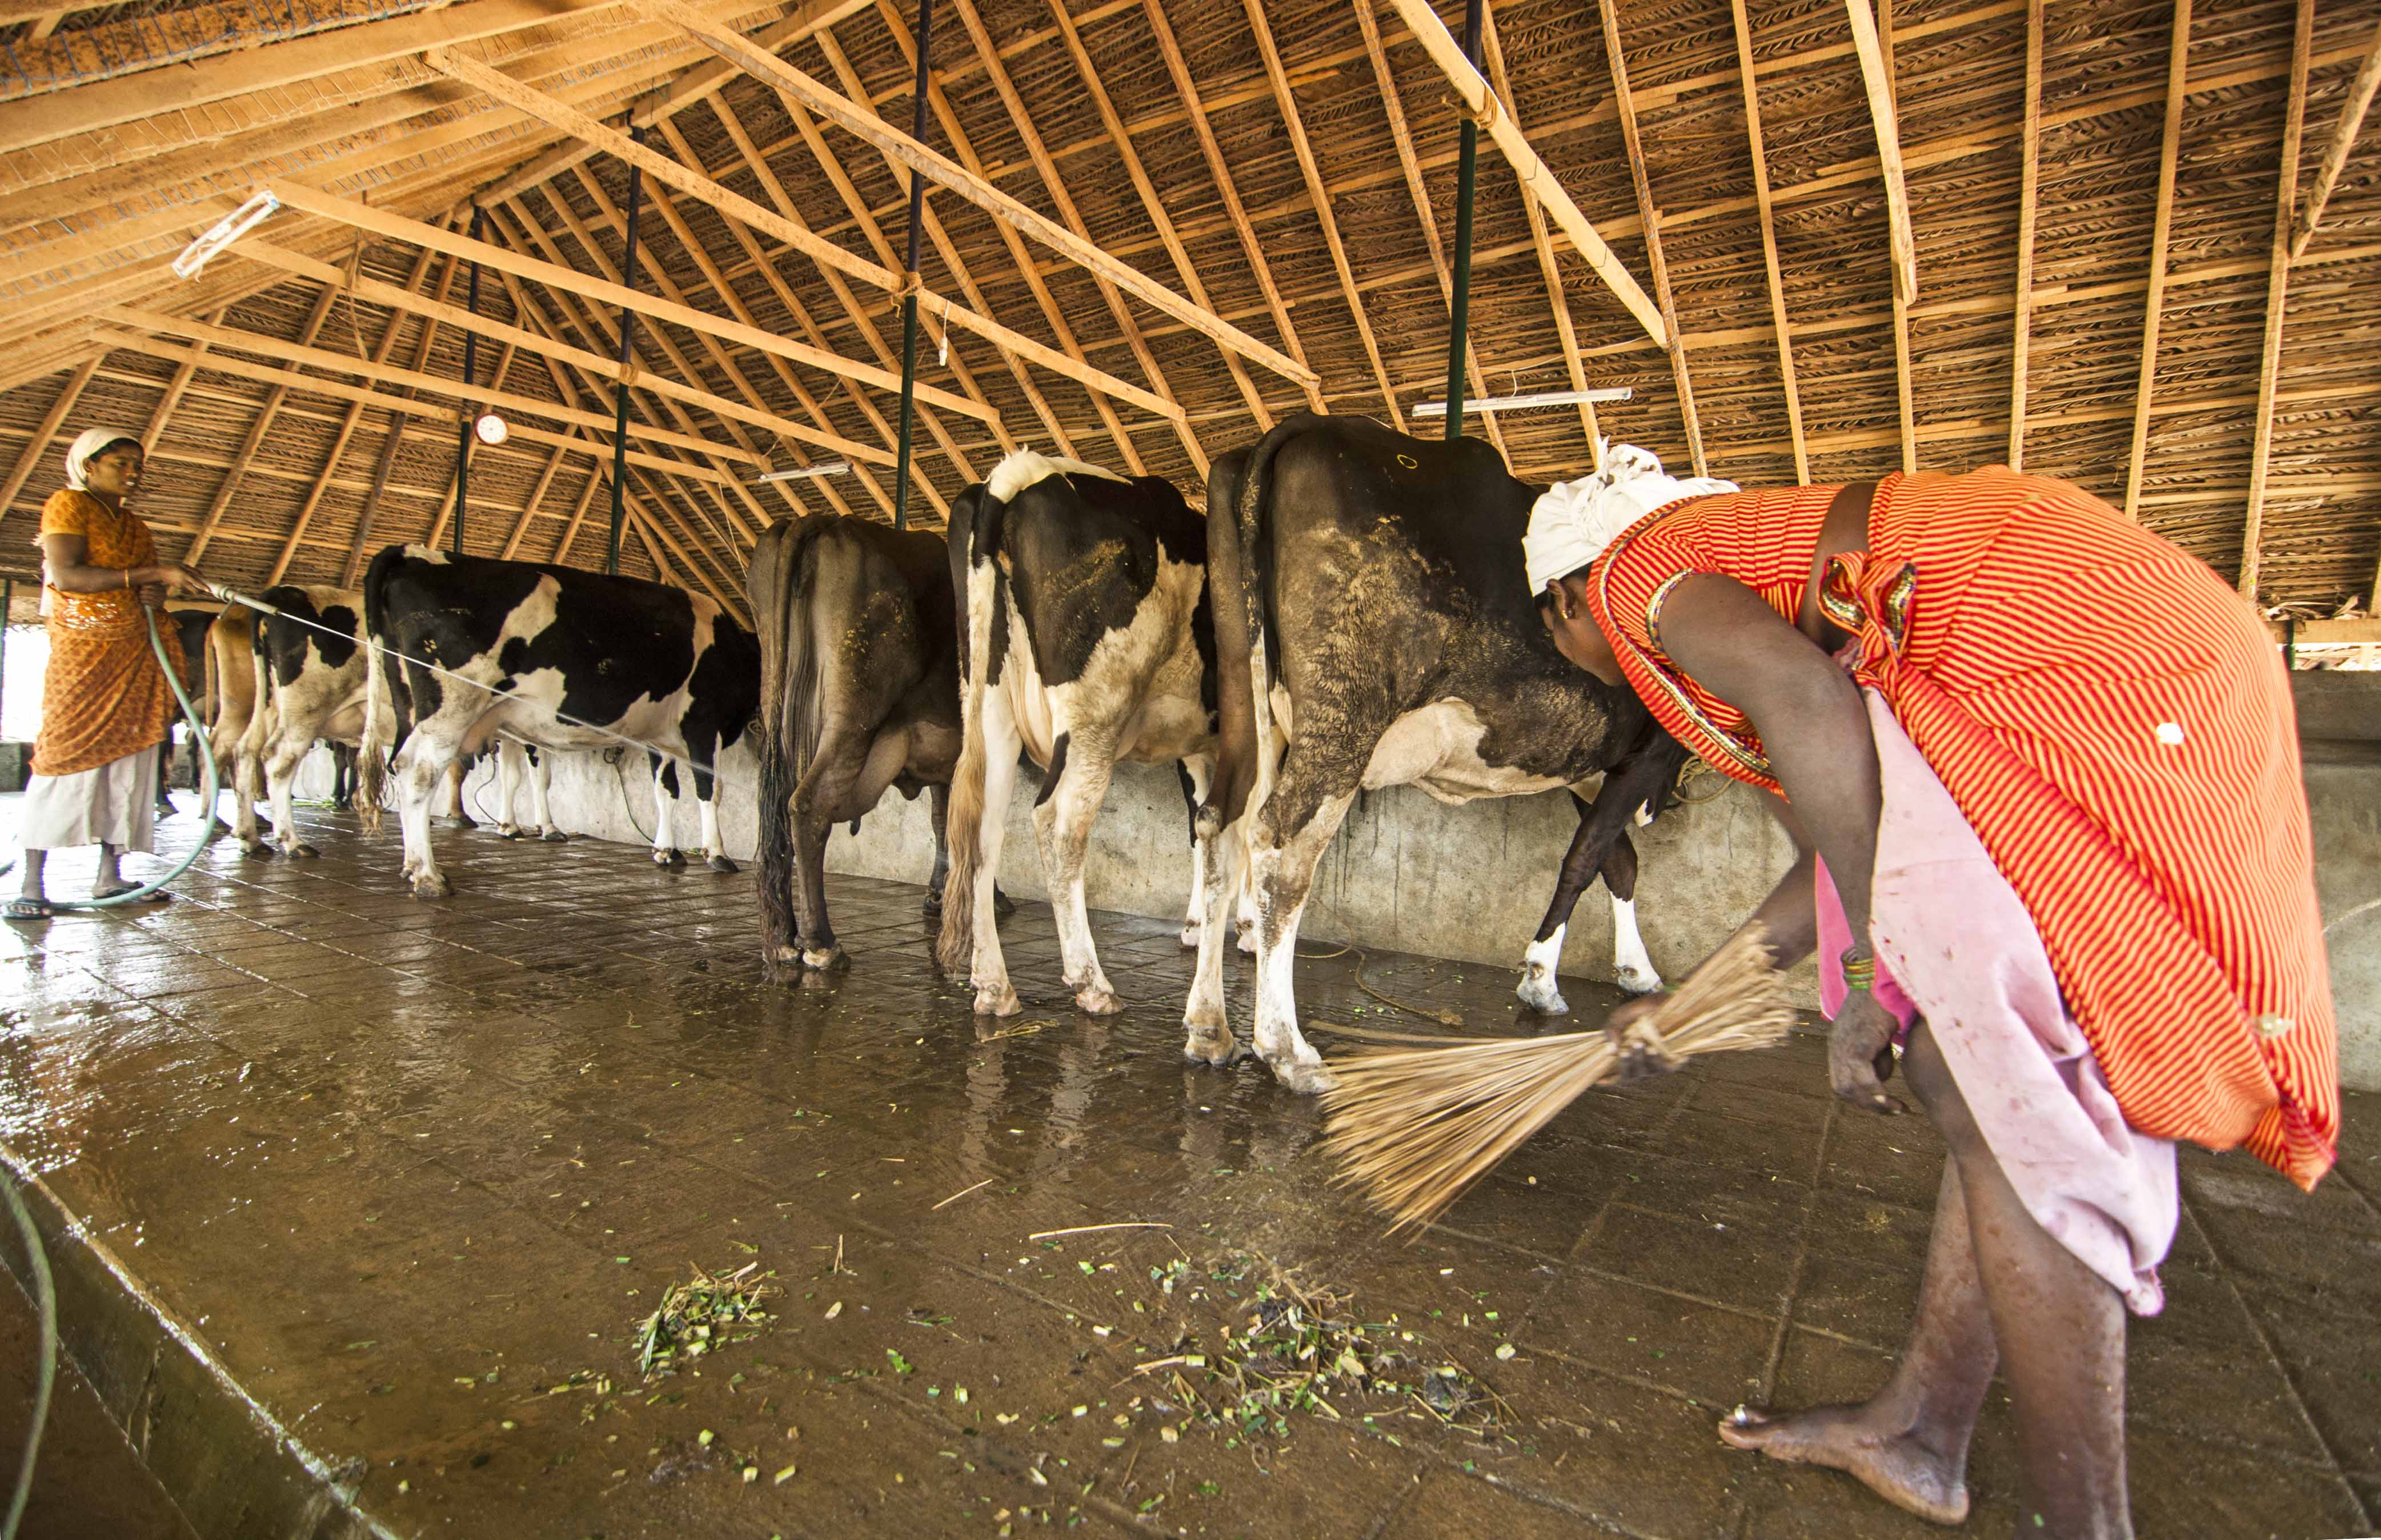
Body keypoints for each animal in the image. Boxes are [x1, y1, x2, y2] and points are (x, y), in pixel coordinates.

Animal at [355, 547, 752, 900]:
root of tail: (413, 554)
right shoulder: (703, 722)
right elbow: (710, 788)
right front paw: (717, 854)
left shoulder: (658, 738)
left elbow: (666, 791)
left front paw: (667, 851)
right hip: (453, 706)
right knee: (419, 773)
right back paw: (429, 876)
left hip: (409, 705)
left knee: (400, 766)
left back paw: (411, 867)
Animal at [743, 514, 967, 976]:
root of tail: (825, 521)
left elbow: (943, 817)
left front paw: (937, 894)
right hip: (854, 711)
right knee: (806, 805)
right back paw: (821, 943)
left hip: (779, 708)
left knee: (778, 815)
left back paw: (783, 939)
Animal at [933, 452, 1219, 1018]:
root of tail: (1022, 469)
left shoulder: (1199, 744)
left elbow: (1201, 823)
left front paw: (1199, 925)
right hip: (1095, 712)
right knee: (1059, 824)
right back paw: (1092, 983)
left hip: (991, 705)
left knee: (982, 831)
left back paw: (994, 985)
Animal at [1190, 416, 1695, 1094]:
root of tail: (1308, 425)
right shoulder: (1647, 752)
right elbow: (1590, 856)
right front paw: (1543, 978)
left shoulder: (1589, 765)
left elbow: (1618, 861)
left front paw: (1633, 970)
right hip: (1344, 715)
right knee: (1280, 845)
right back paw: (1287, 1050)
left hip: (1245, 705)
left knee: (1219, 827)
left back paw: (1209, 1028)